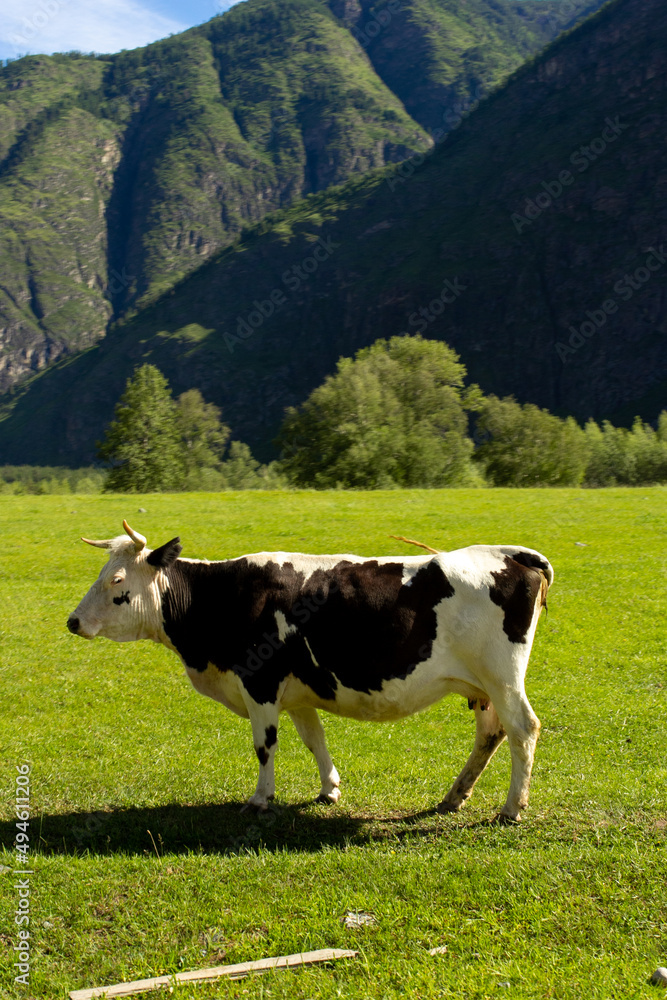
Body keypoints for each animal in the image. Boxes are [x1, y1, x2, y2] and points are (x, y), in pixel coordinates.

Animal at [68, 524, 552, 820]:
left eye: (116, 581)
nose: (73, 621)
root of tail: (510, 554)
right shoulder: (297, 692)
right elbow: (314, 738)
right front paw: (329, 789)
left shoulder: (259, 683)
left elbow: (265, 746)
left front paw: (260, 799)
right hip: (482, 687)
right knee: (491, 734)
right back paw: (454, 797)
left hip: (503, 680)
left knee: (523, 729)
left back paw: (511, 808)